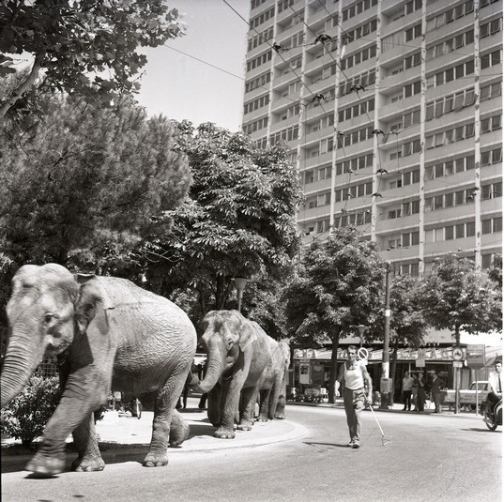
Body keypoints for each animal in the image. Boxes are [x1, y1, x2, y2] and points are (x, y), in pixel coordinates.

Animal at [0, 264, 197, 476]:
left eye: (49, 318)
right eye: (7, 316)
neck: (77, 280)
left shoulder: (101, 330)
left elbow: (87, 390)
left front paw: (42, 467)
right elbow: (72, 390)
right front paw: (86, 468)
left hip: (182, 359)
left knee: (163, 400)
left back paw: (155, 462)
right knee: (150, 399)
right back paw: (180, 438)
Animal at [195, 310, 278, 440]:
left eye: (230, 343)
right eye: (202, 343)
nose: (195, 378)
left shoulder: (247, 351)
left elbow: (235, 383)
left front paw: (224, 436)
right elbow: (220, 385)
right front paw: (217, 423)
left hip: (261, 369)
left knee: (252, 389)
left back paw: (244, 427)